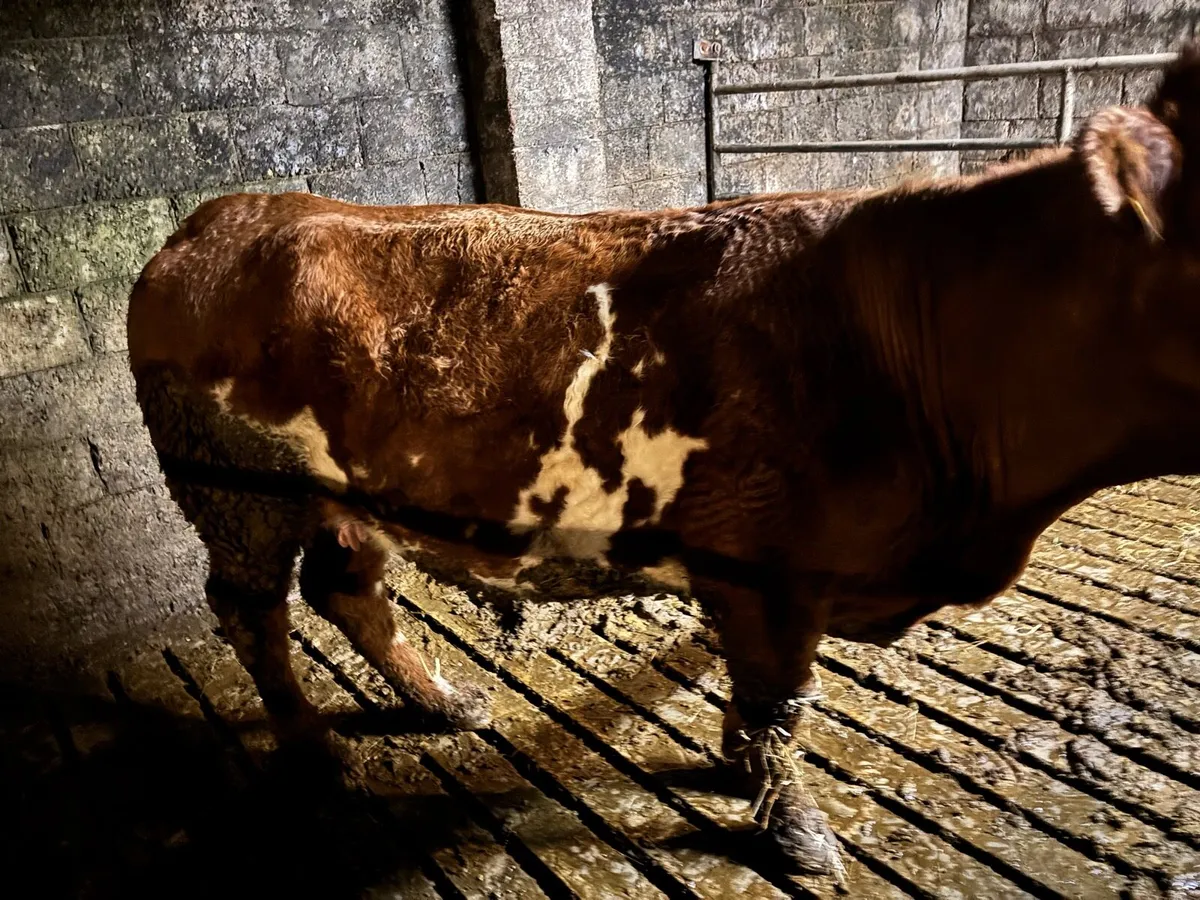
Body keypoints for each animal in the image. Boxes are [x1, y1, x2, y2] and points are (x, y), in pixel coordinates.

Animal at [127, 45, 1200, 878]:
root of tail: (219, 215)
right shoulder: (769, 573)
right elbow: (778, 706)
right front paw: (793, 831)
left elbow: (764, 704)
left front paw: (739, 770)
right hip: (237, 493)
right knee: (253, 613)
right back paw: (318, 753)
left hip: (344, 495)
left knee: (347, 587)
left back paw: (446, 701)